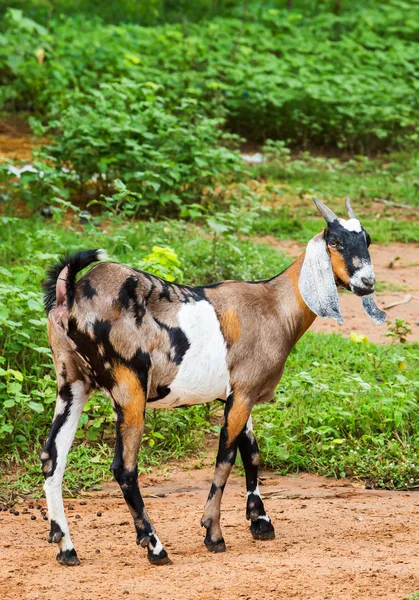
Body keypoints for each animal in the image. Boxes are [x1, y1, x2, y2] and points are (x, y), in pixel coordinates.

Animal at [41, 198, 386, 568]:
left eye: (367, 239)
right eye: (334, 241)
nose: (367, 282)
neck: (273, 305)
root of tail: (71, 294)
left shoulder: (237, 393)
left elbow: (252, 454)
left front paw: (260, 521)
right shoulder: (244, 392)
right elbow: (226, 458)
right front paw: (214, 533)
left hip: (72, 383)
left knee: (52, 459)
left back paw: (66, 548)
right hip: (128, 387)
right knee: (124, 468)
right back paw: (155, 547)